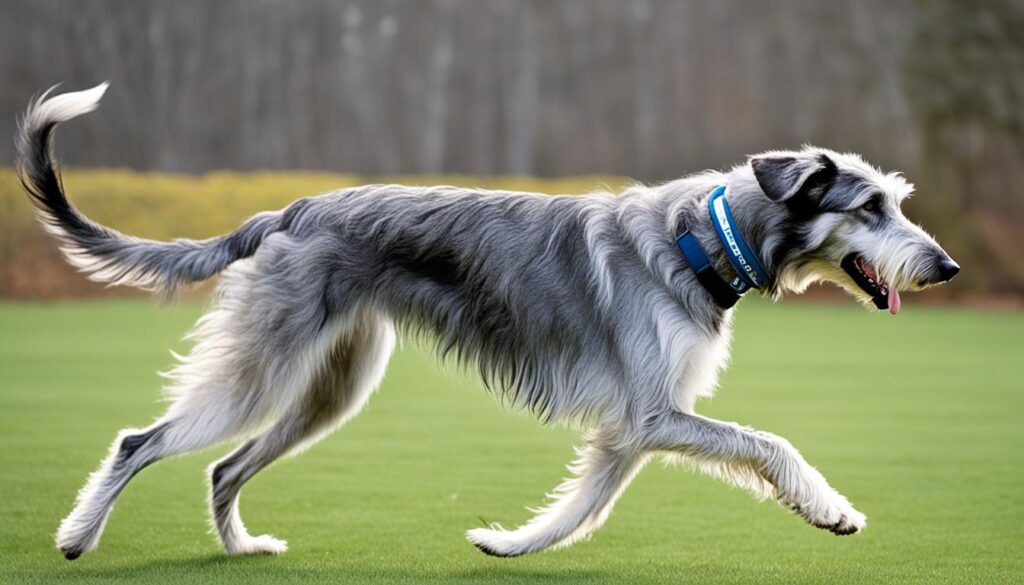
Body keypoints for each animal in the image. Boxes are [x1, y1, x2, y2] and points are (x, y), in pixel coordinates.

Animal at [16, 84, 958, 561]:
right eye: (869, 206)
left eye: (895, 202)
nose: (945, 267)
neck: (700, 235)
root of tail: (290, 209)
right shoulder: (656, 413)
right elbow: (769, 443)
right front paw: (830, 508)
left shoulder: (631, 427)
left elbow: (578, 507)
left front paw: (507, 543)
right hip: (261, 372)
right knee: (140, 441)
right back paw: (76, 536)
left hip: (329, 390)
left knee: (222, 468)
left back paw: (240, 549)